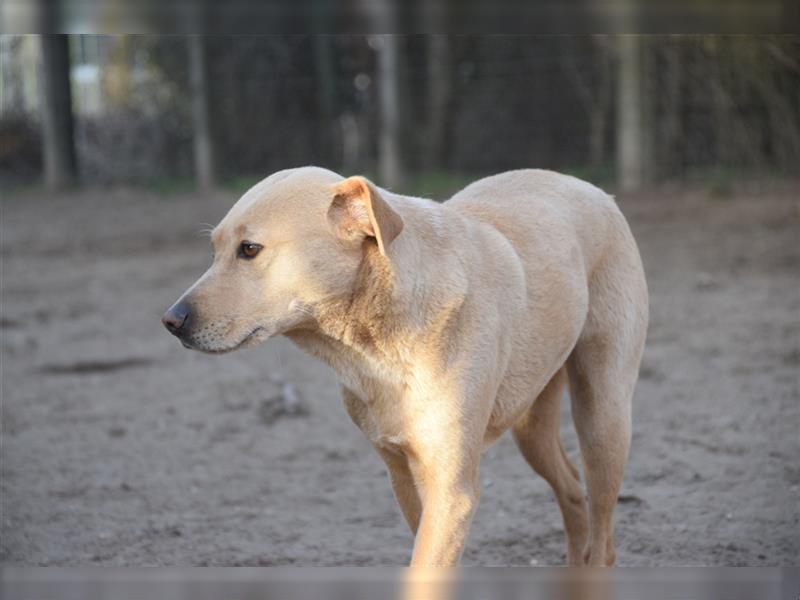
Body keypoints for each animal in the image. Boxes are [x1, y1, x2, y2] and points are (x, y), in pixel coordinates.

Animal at [162, 166, 648, 564]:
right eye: (214, 250)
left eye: (249, 249)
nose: (171, 321)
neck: (378, 348)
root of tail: (588, 186)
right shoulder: (402, 473)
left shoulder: (451, 490)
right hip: (531, 426)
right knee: (573, 495)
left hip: (603, 418)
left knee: (603, 537)